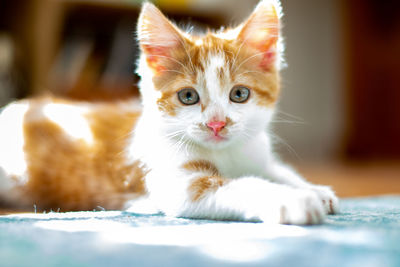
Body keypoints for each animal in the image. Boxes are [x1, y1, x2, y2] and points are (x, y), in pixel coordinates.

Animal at [0, 1, 338, 225]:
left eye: (239, 94)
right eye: (188, 97)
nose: (216, 124)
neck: (225, 153)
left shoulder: (254, 150)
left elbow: (274, 168)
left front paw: (312, 188)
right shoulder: (175, 181)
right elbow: (235, 185)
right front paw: (292, 199)